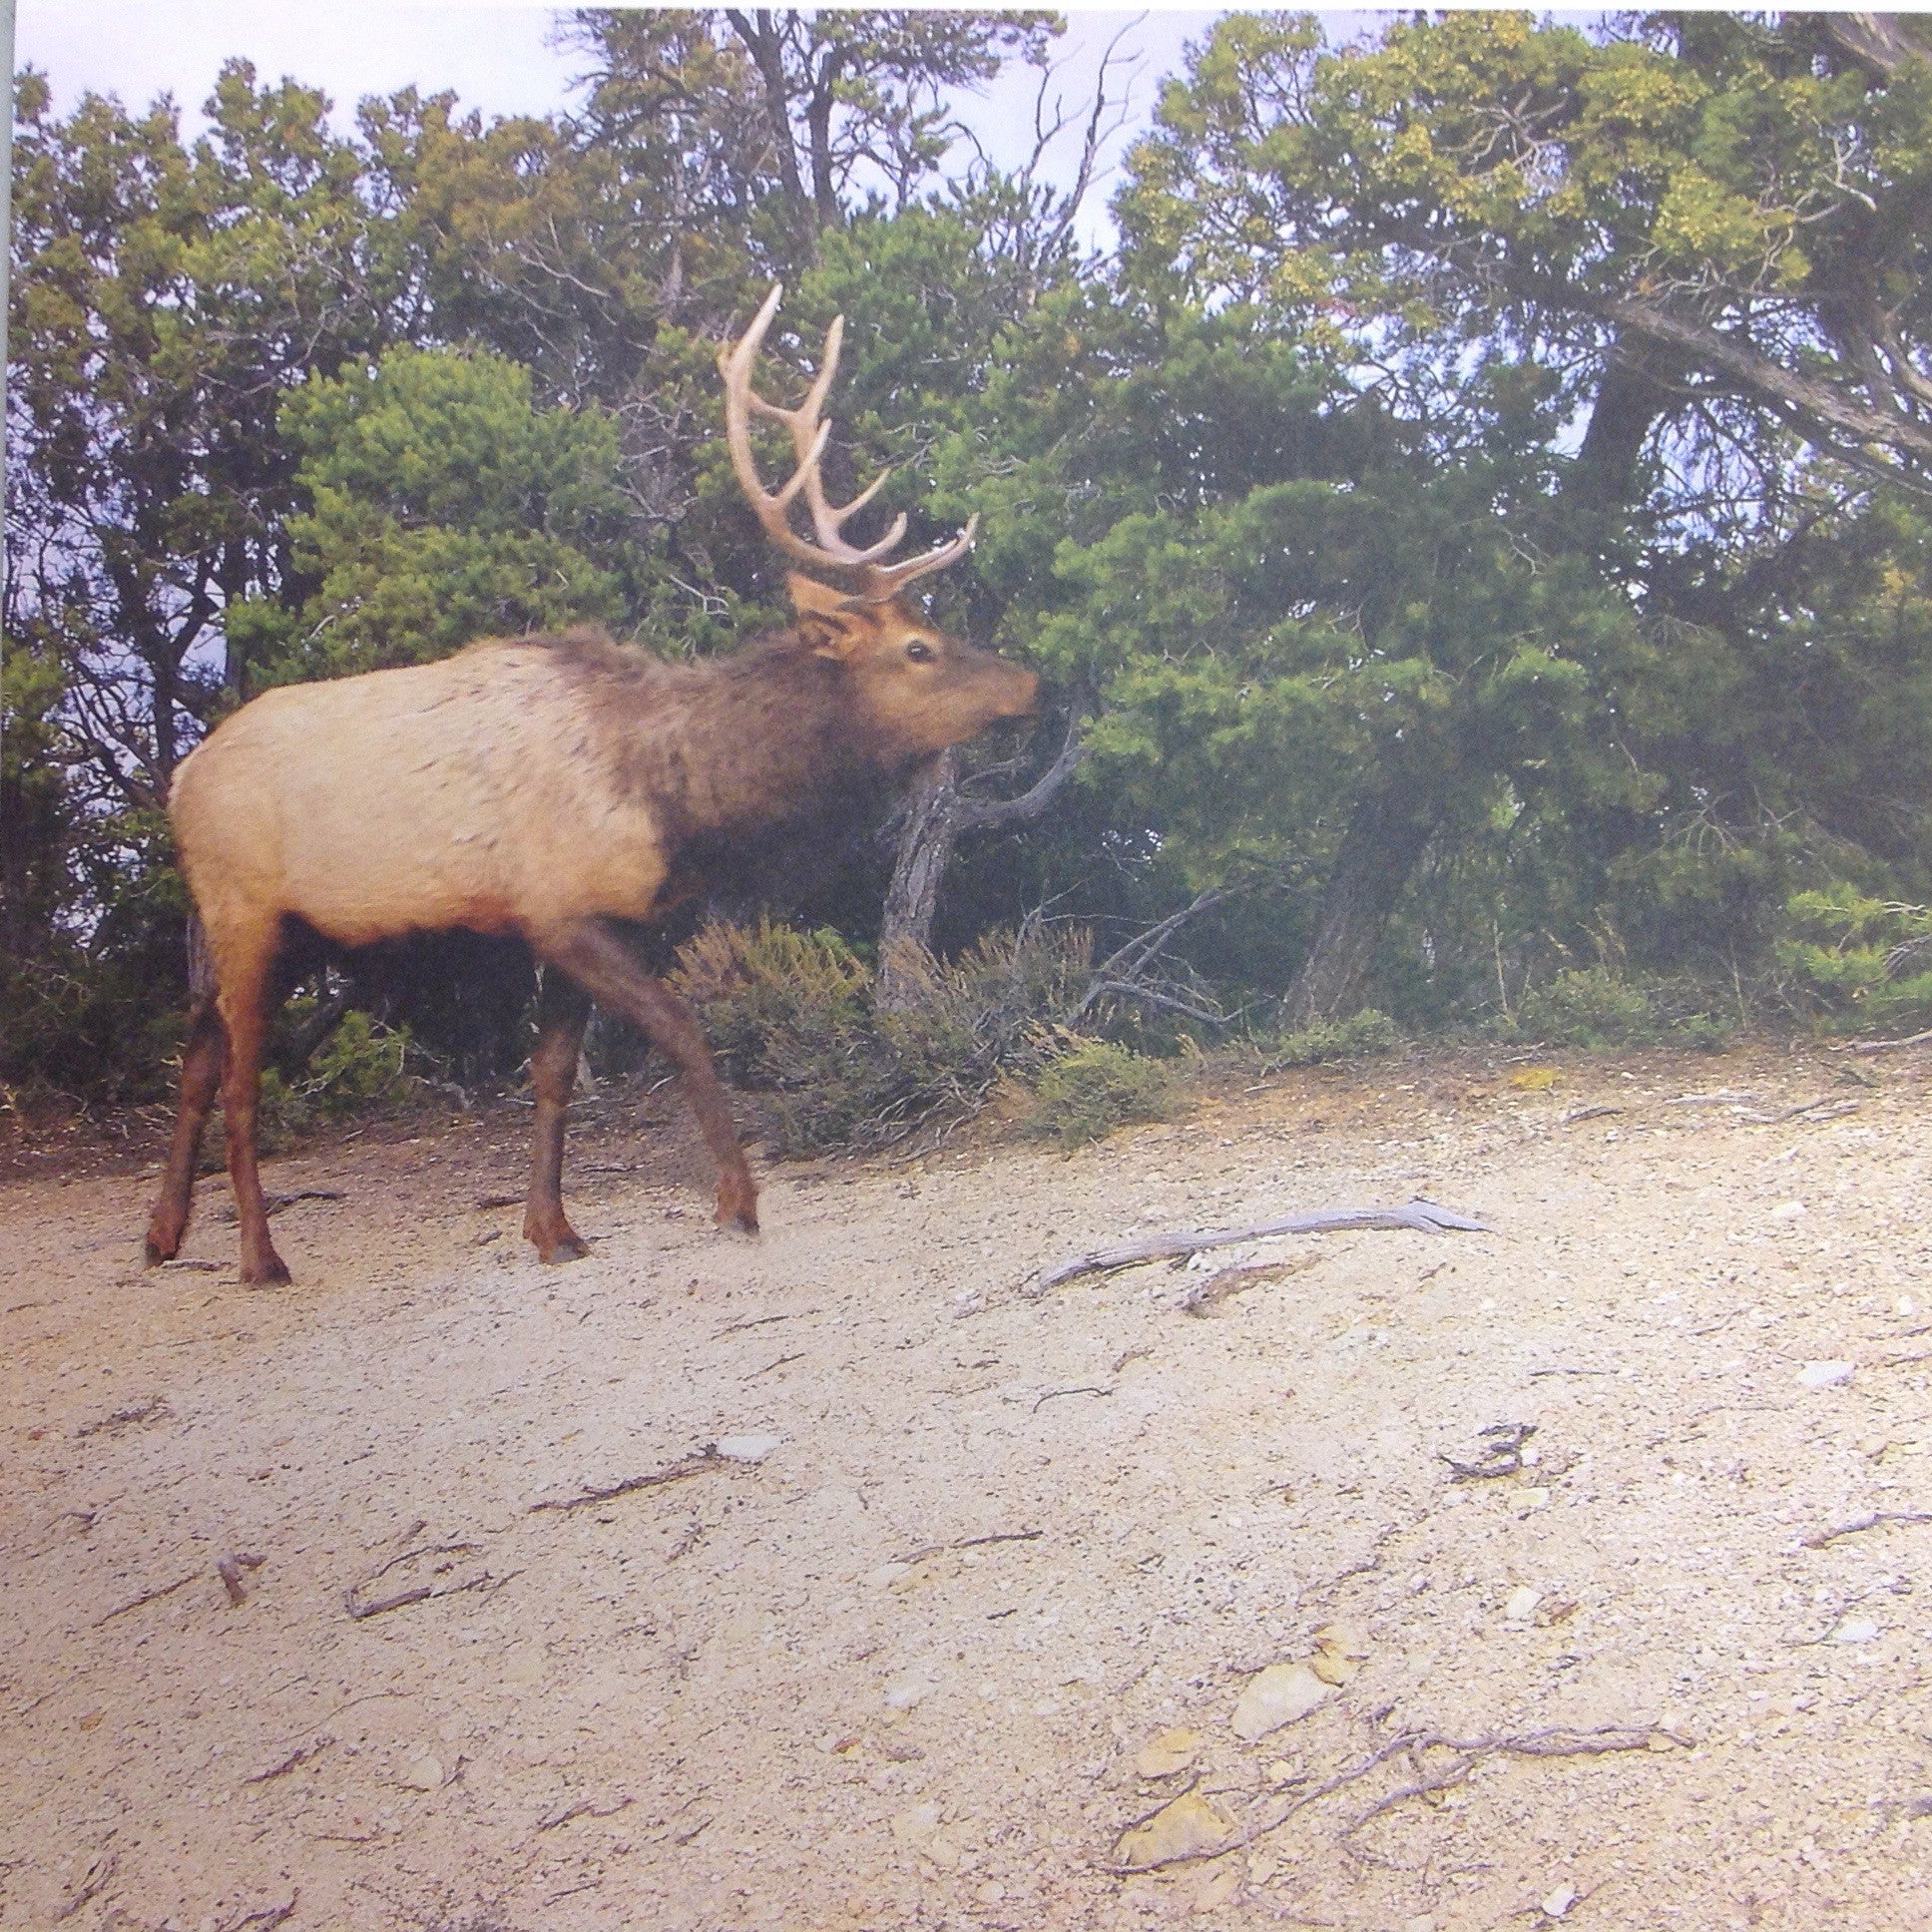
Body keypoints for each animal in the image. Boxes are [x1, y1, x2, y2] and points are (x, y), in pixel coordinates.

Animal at [143, 284, 1039, 1285]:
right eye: (919, 648)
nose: (1035, 684)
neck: (669, 794)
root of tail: (180, 778)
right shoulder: (564, 910)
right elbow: (683, 1029)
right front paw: (737, 1201)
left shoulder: (579, 919)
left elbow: (553, 1077)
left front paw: (555, 1228)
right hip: (244, 908)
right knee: (240, 1074)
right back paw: (260, 1255)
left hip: (289, 928)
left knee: (195, 1048)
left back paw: (163, 1234)